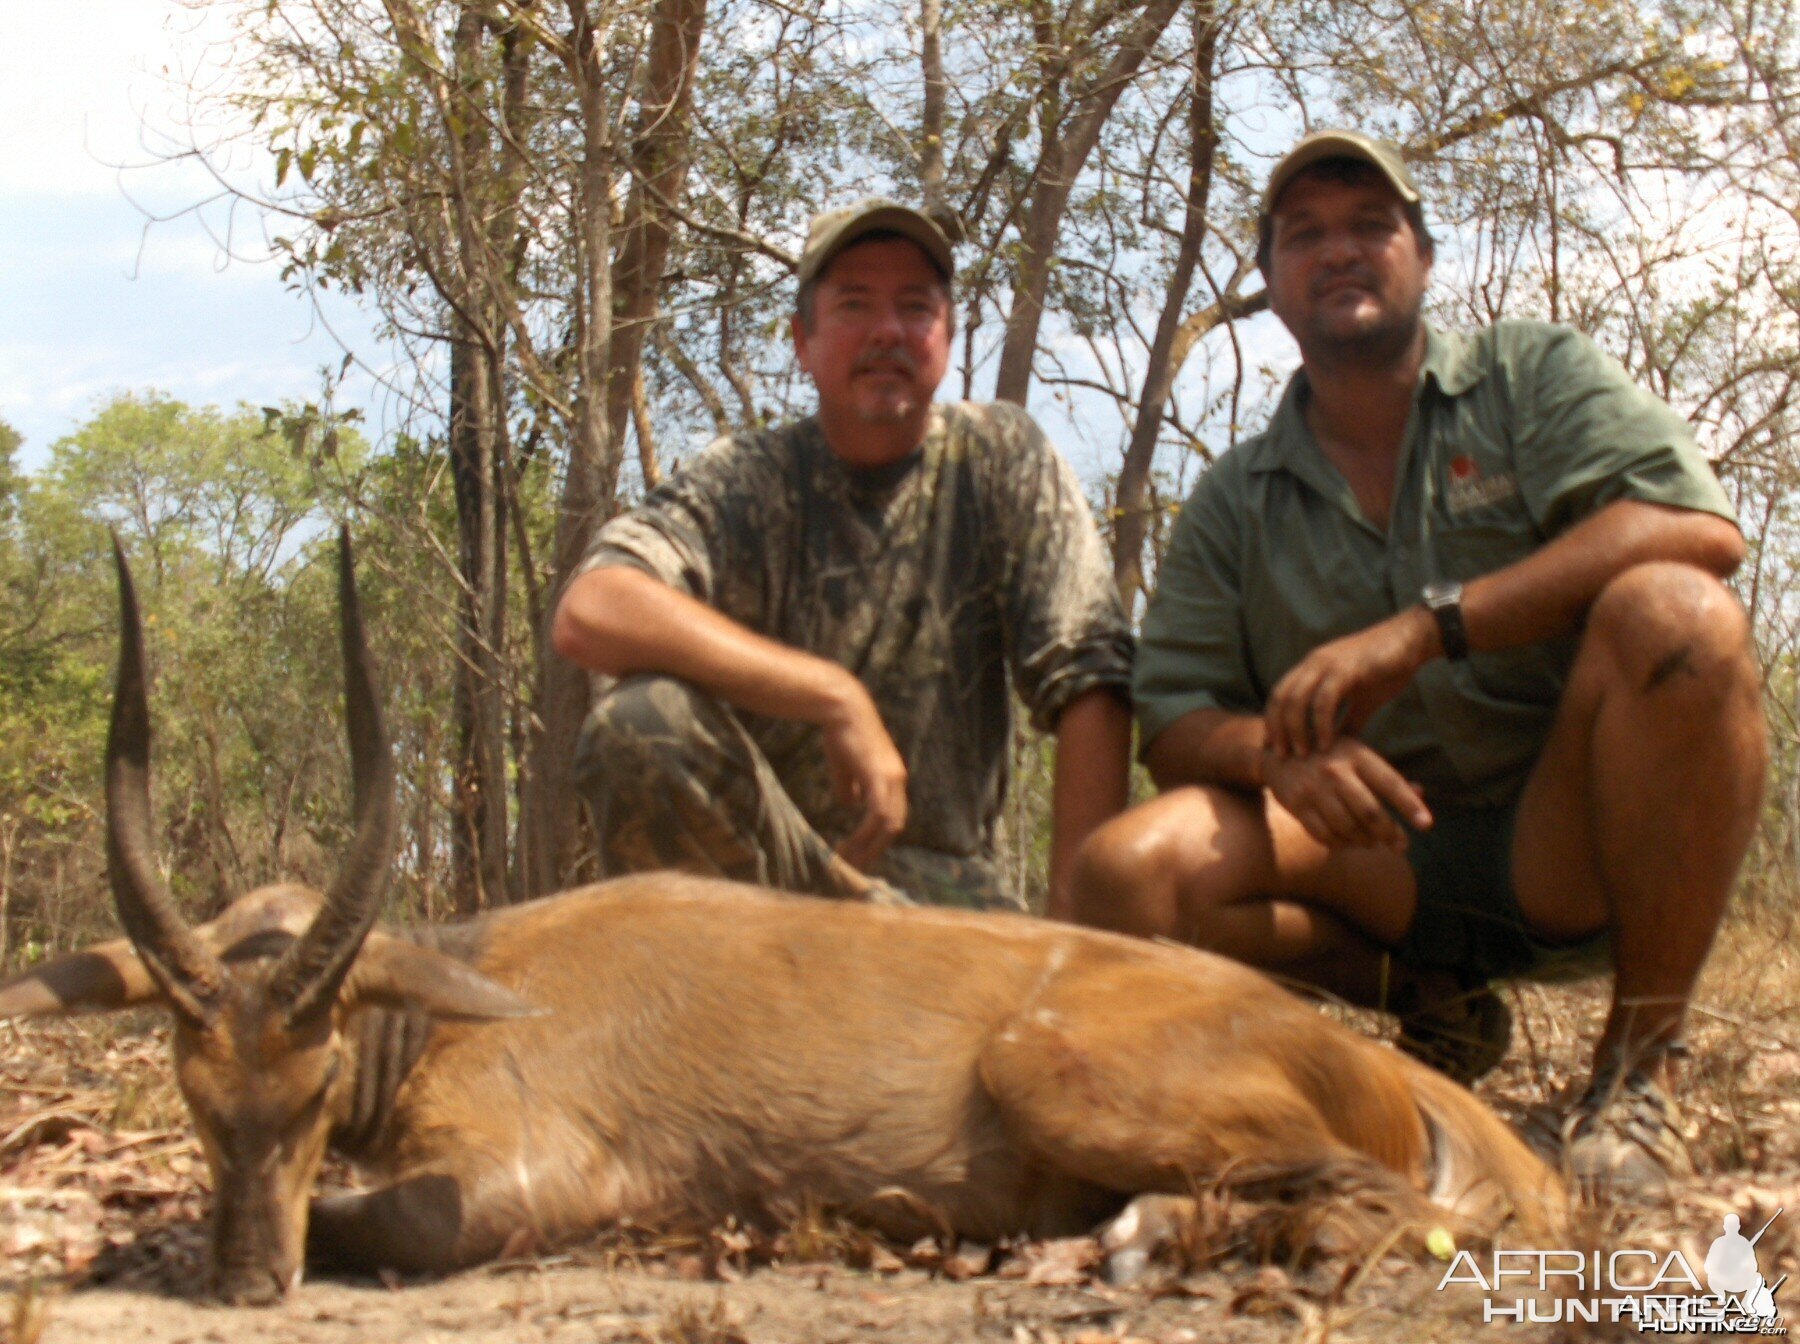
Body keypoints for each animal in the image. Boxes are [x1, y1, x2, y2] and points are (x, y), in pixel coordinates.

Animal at [0, 536, 1562, 1302]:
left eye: (319, 1079)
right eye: (194, 1094)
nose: (245, 1284)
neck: (463, 986)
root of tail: (1363, 1058)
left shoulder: (525, 1182)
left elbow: (370, 1220)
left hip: (1060, 1071)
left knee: (1378, 1201)